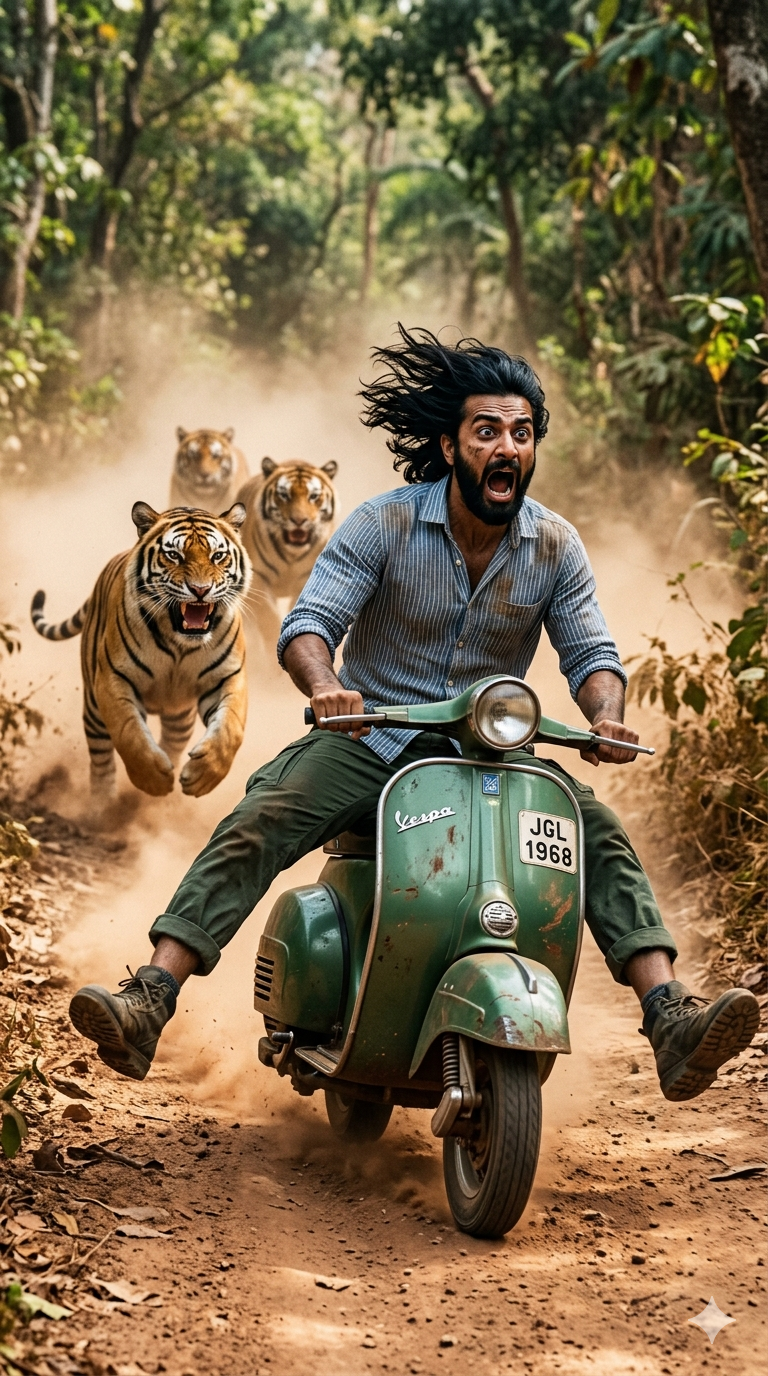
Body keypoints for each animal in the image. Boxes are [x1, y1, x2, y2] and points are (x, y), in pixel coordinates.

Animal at [30, 503, 251, 801]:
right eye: (174, 555)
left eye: (218, 556)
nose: (200, 590)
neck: (181, 645)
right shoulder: (113, 680)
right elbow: (129, 733)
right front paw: (154, 780)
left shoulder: (228, 677)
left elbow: (230, 729)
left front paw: (202, 776)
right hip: (94, 710)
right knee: (101, 761)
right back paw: (102, 805)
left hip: (180, 714)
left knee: (174, 741)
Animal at [236, 456, 338, 650]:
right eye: (284, 495)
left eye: (313, 496)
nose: (299, 520)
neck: (292, 556)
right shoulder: (258, 578)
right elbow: (269, 616)